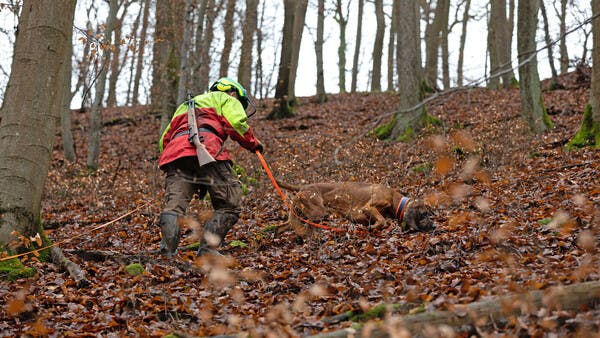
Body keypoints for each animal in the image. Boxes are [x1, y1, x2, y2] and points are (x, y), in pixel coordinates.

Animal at [276, 180, 436, 238]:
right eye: (423, 214)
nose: (434, 226)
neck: (394, 200)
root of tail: (302, 187)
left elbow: (385, 221)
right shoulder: (368, 207)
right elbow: (382, 221)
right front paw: (374, 227)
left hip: (299, 216)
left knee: (284, 227)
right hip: (318, 212)